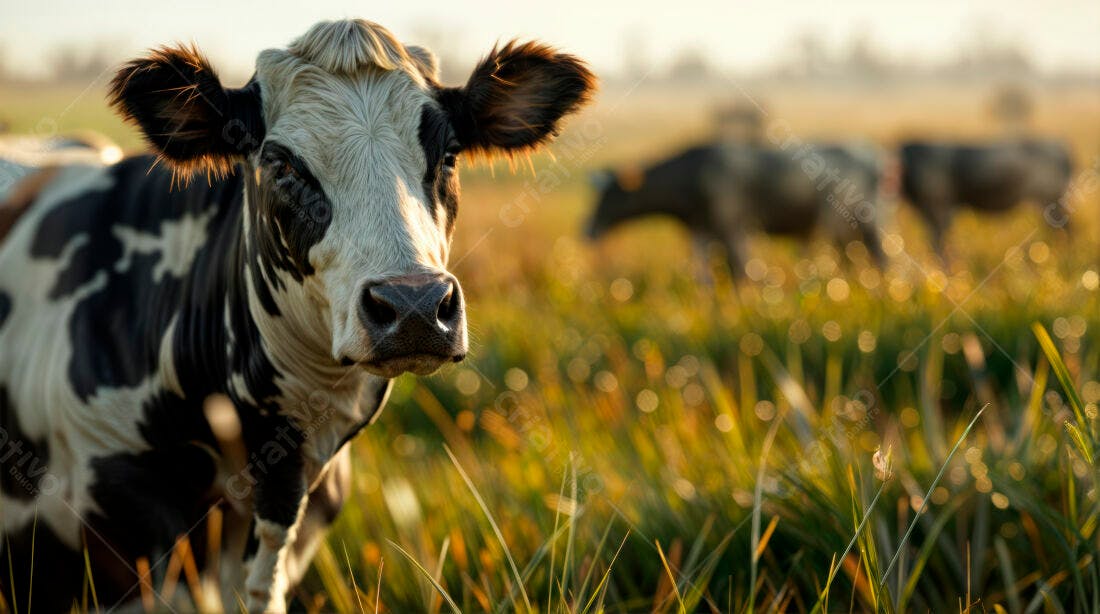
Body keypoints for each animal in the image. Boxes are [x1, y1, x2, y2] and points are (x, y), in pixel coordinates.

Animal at [586, 141, 885, 278]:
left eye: (610, 195)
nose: (586, 230)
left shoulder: (732, 228)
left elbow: (742, 272)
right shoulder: (700, 231)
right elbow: (704, 277)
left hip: (853, 225)